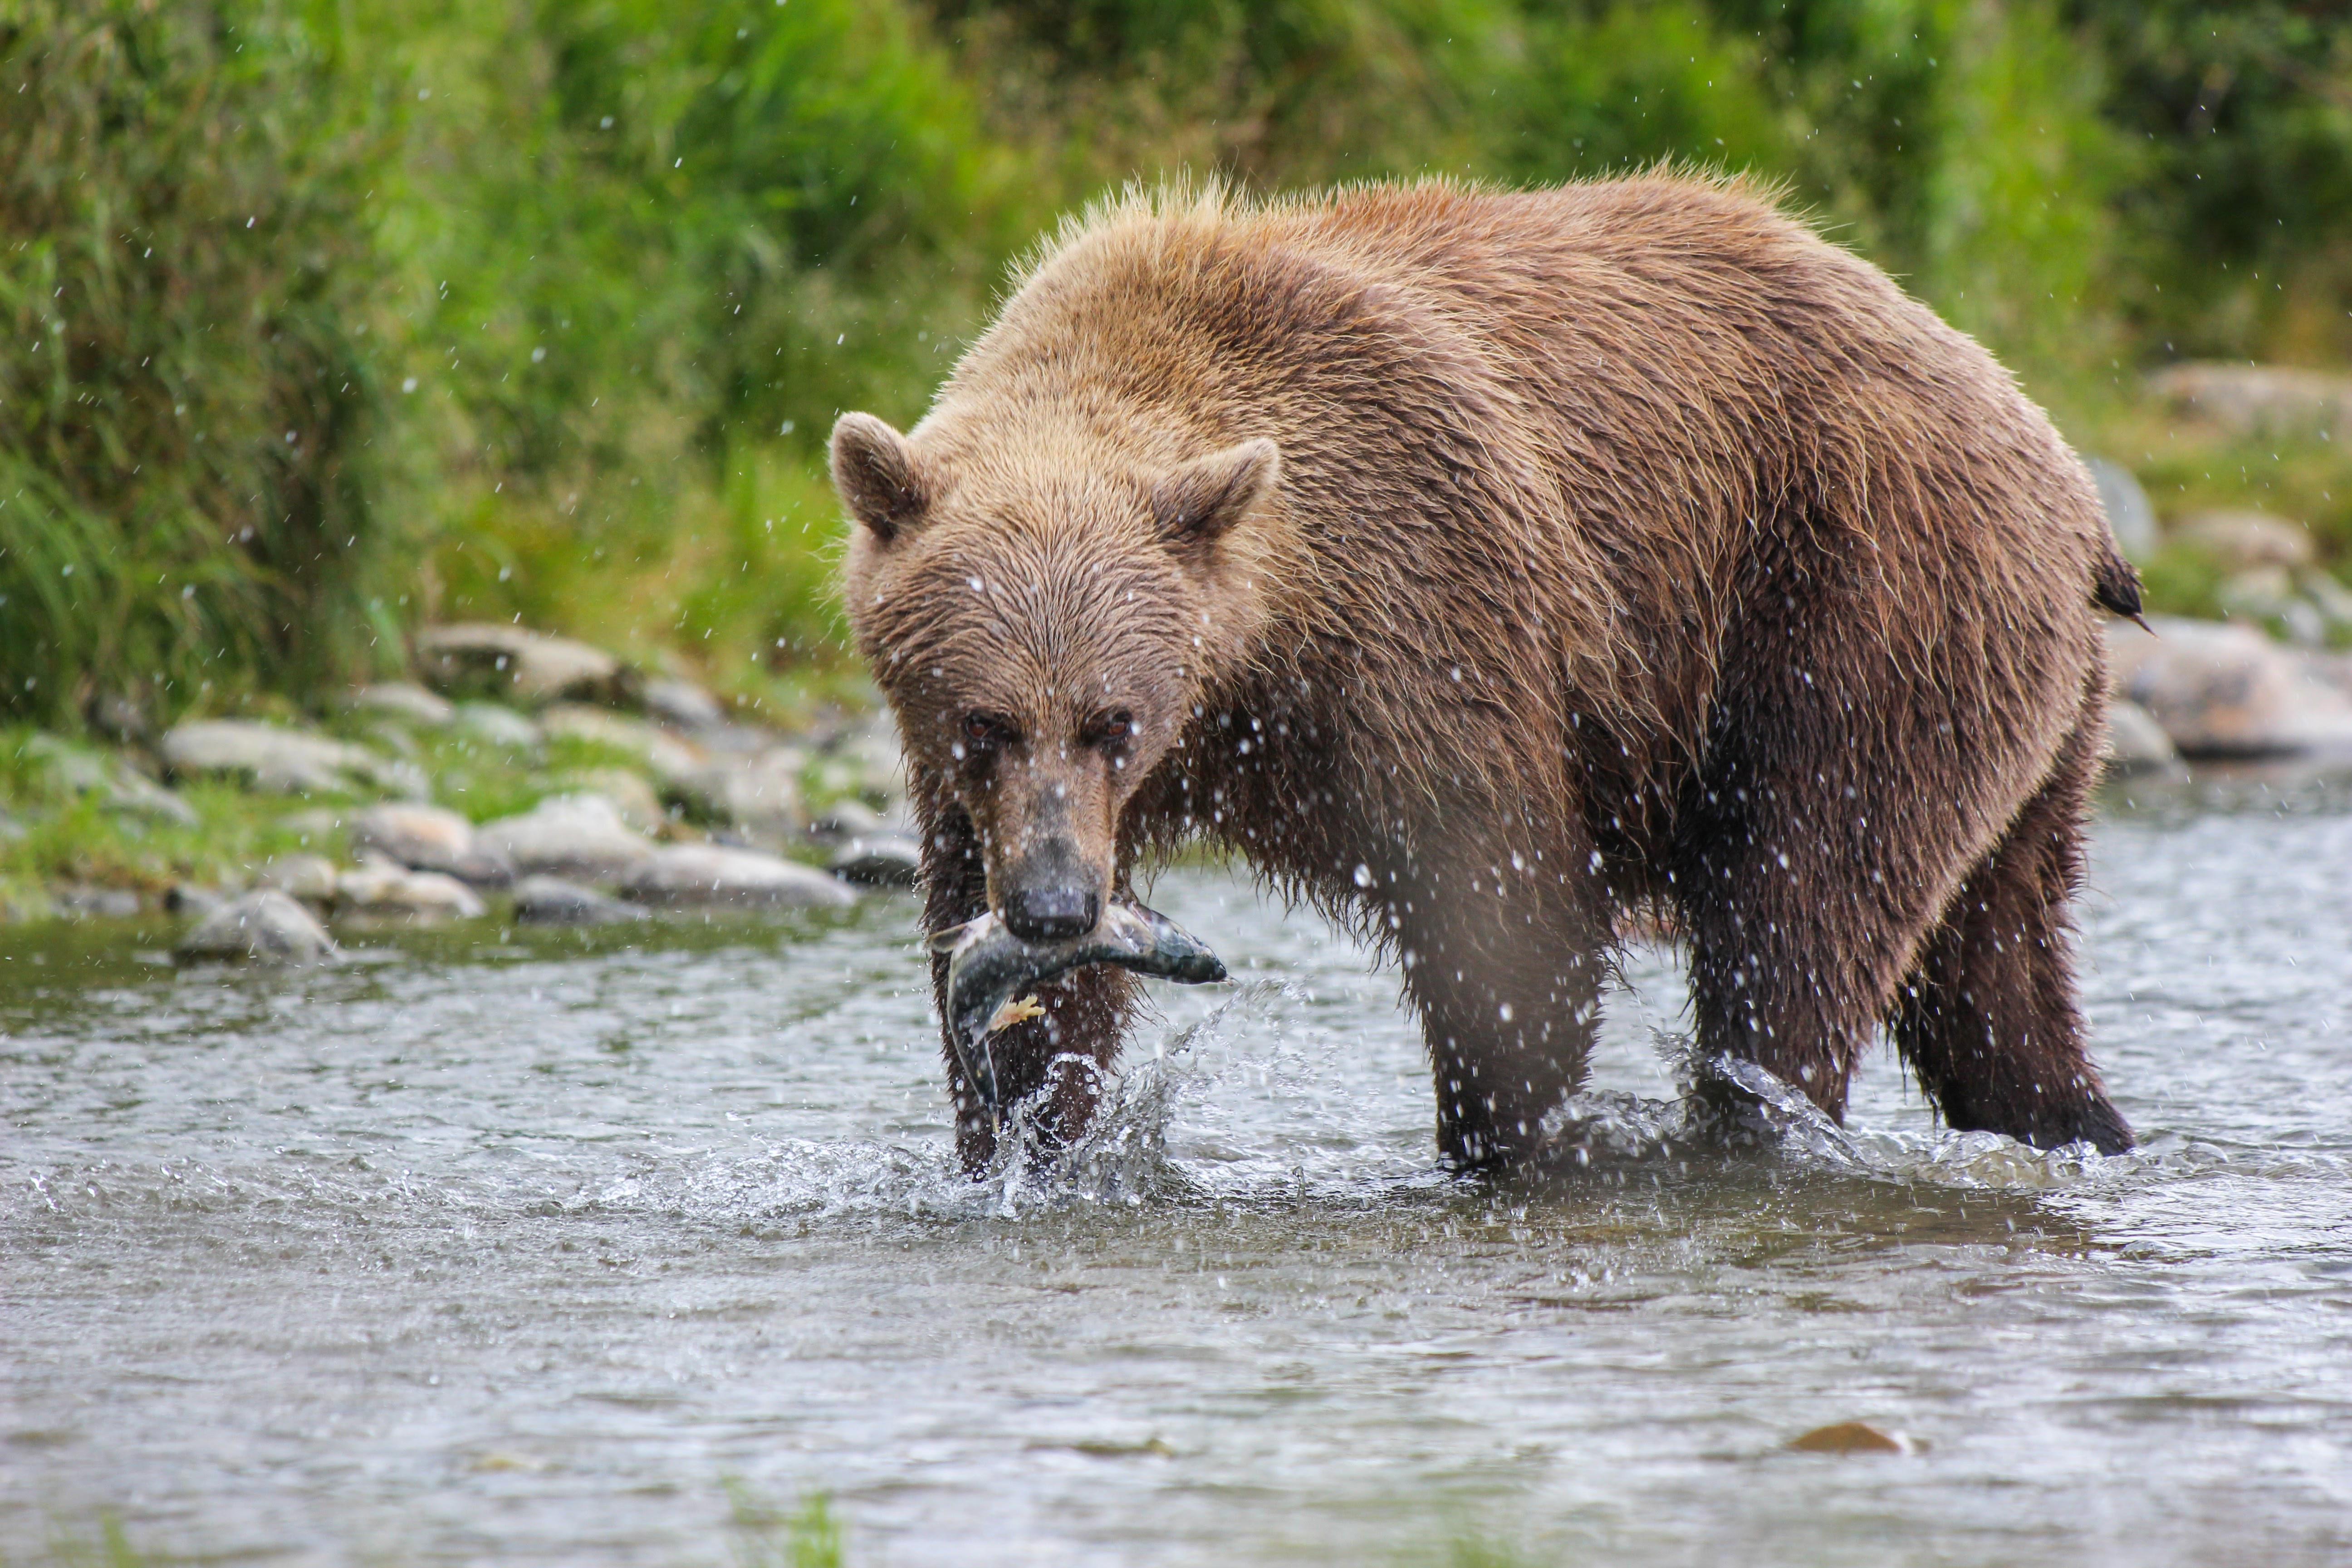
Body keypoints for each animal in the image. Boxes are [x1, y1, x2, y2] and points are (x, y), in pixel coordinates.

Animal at [829, 175, 2139, 1175]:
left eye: (1113, 719)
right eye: (987, 722)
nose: (1054, 904)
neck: (1258, 656)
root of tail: (2055, 459)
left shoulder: (1427, 607)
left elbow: (1507, 914)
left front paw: (1504, 1139)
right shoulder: (1007, 793)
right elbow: (1025, 993)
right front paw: (1027, 1133)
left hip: (1858, 604)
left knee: (1801, 909)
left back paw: (1748, 1125)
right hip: (2016, 701)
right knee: (1993, 967)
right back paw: (2076, 1120)